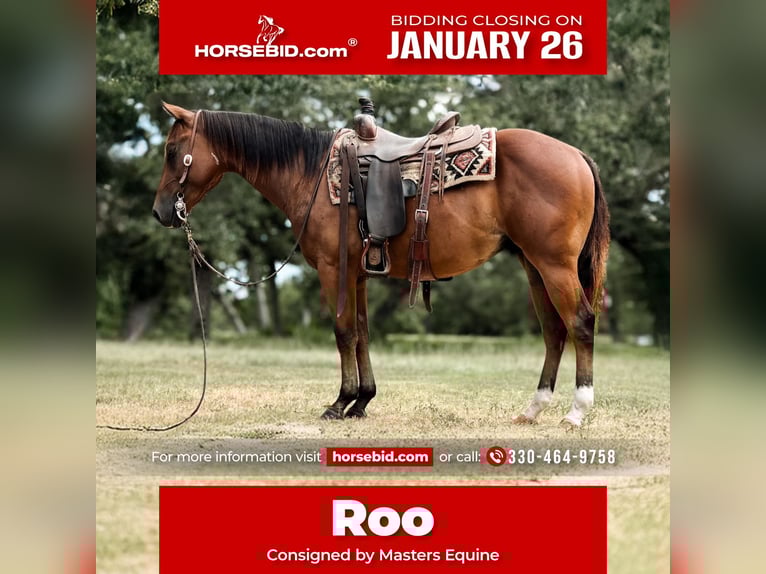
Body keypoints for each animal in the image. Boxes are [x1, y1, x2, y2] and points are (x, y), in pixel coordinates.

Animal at [152, 102, 610, 429]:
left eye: (173, 151)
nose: (160, 212)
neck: (311, 173)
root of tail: (576, 154)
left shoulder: (333, 269)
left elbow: (343, 333)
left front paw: (339, 402)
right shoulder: (356, 273)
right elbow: (362, 334)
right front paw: (362, 401)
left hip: (554, 266)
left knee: (581, 323)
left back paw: (576, 411)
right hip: (534, 267)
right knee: (554, 332)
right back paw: (534, 409)